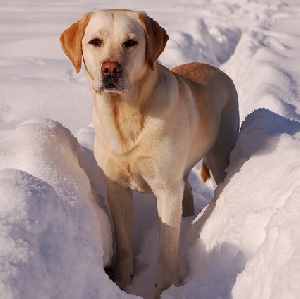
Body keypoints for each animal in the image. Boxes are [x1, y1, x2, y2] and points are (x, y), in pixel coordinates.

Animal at [60, 8, 239, 298]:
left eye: (130, 43)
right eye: (95, 42)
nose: (110, 69)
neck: (125, 115)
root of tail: (216, 70)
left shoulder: (166, 190)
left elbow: (167, 251)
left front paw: (163, 289)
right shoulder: (117, 188)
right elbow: (124, 244)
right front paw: (123, 283)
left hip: (219, 153)